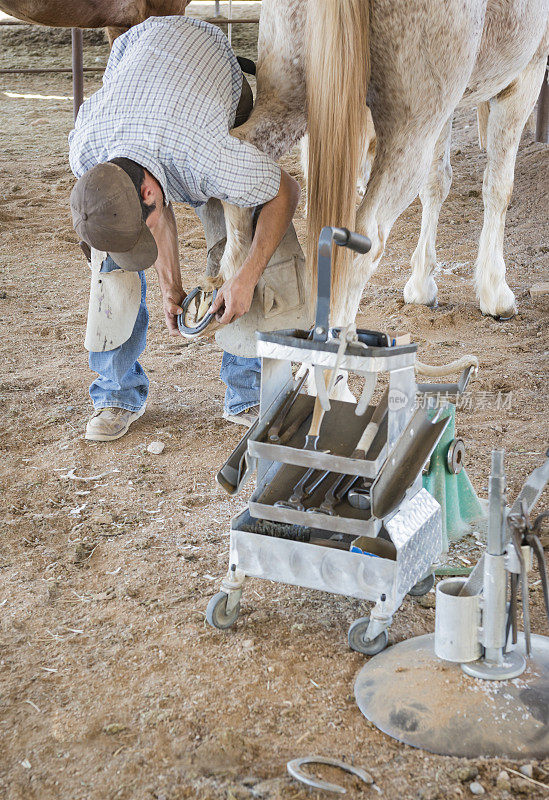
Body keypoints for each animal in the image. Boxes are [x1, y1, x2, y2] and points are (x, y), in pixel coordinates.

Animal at [220, 1, 548, 324]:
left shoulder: (446, 110)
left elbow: (437, 183)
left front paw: (421, 286)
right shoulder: (525, 77)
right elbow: (498, 187)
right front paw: (496, 293)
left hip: (288, 99)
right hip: (409, 135)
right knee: (361, 242)